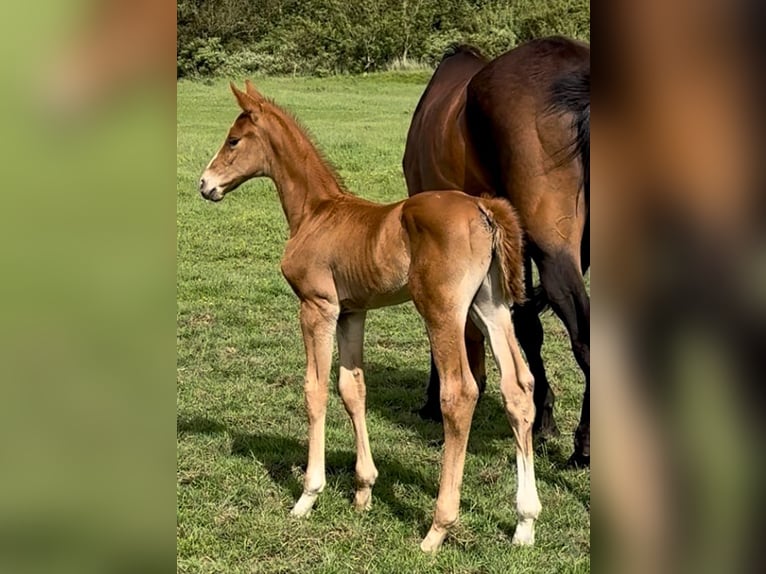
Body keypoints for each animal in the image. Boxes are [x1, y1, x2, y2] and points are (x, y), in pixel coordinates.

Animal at [198, 81, 541, 552]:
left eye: (233, 140)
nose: (204, 184)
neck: (315, 213)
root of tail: (484, 209)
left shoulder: (317, 307)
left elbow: (315, 389)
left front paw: (308, 496)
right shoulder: (352, 312)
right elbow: (352, 388)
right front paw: (363, 490)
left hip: (443, 309)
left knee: (459, 393)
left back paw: (437, 529)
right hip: (490, 307)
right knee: (518, 388)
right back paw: (525, 523)